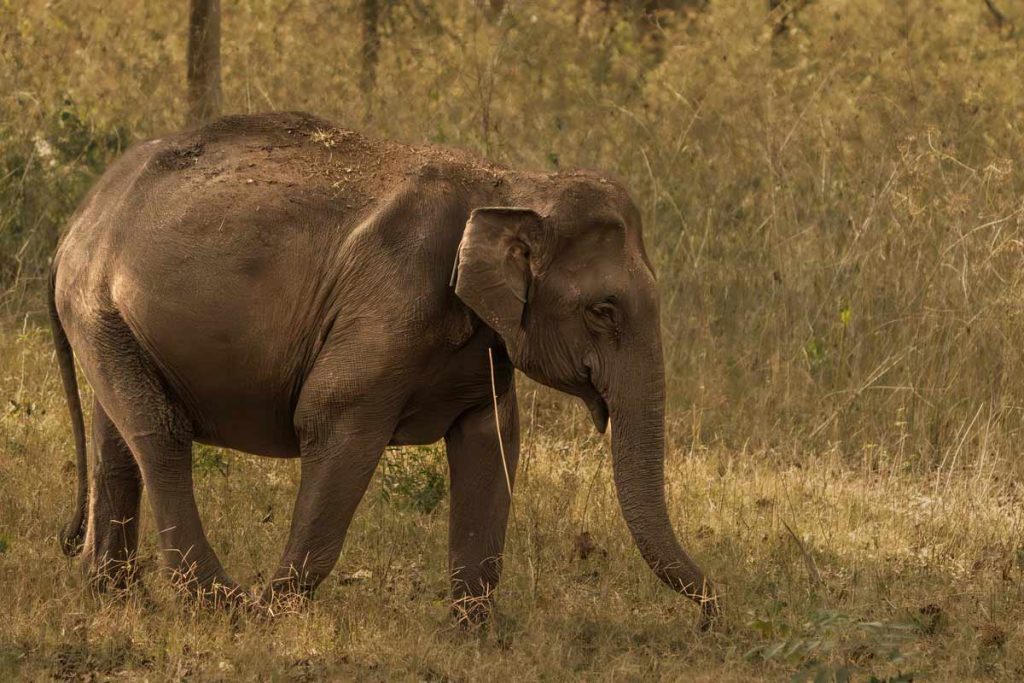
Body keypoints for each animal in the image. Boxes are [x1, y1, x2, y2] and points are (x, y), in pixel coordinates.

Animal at [49, 111, 720, 626]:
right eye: (603, 310)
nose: (711, 613)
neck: (509, 182)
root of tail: (78, 221)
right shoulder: (391, 301)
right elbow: (332, 421)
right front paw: (275, 612)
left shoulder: (481, 344)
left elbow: (492, 441)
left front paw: (473, 635)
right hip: (99, 306)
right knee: (160, 437)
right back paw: (223, 604)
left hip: (111, 326)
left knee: (117, 442)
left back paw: (115, 596)